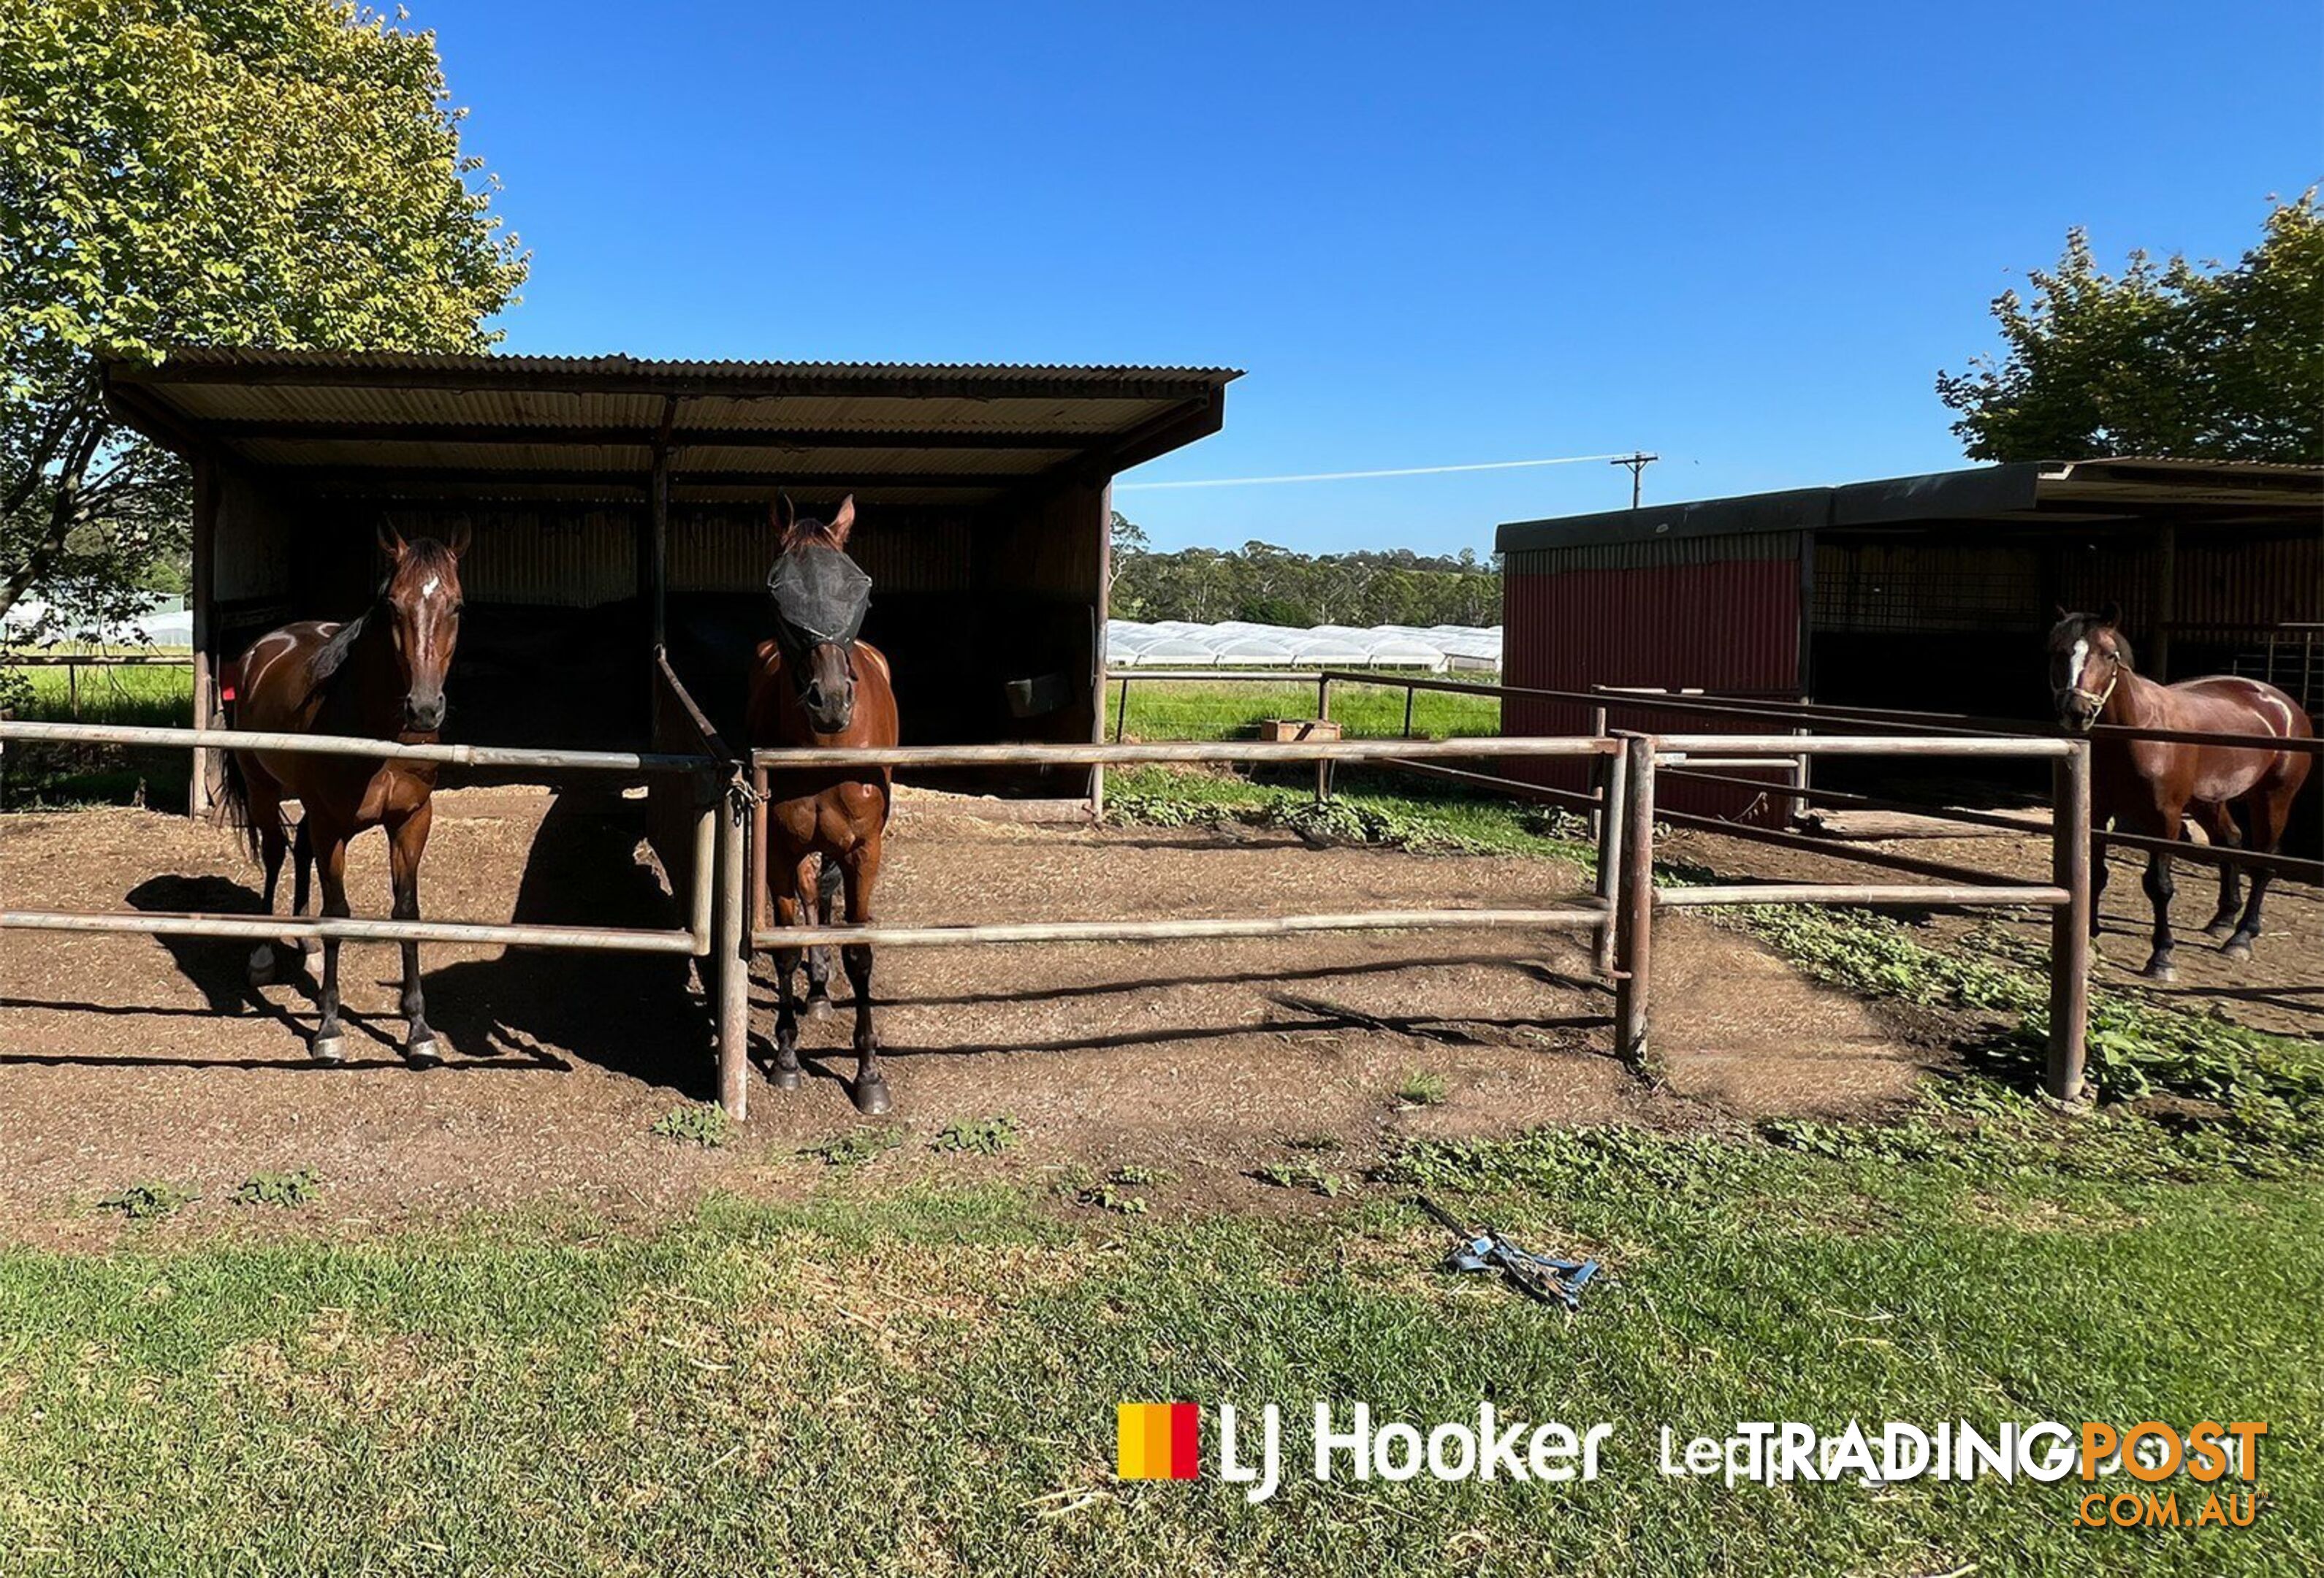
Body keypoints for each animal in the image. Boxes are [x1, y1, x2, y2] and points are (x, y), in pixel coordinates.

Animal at [216, 527, 469, 1059]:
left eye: (456, 605)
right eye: (392, 605)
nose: (424, 709)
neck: (379, 730)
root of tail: (259, 651)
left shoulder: (412, 819)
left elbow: (407, 912)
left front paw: (419, 1029)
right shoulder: (334, 824)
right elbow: (337, 913)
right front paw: (329, 1028)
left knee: (300, 849)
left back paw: (307, 947)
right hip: (264, 790)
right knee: (276, 853)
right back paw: (265, 954)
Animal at [2054, 604, 2305, 976]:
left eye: (2109, 654)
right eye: (2059, 652)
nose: (2077, 712)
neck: (2137, 731)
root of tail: (2286, 706)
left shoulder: (2166, 818)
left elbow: (2159, 886)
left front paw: (2162, 956)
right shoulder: (2098, 811)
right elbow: (2096, 874)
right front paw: (2089, 938)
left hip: (2272, 799)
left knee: (2263, 863)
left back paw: (2241, 938)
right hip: (2209, 801)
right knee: (2230, 840)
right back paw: (2223, 920)